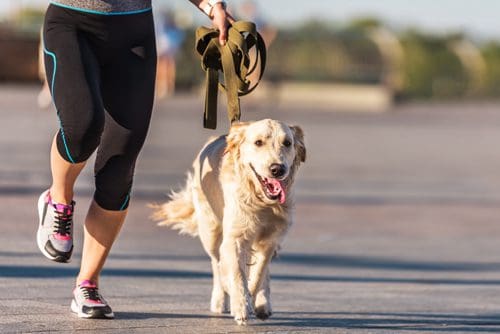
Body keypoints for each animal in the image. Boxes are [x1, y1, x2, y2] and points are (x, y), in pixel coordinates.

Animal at [150, 118, 306, 324]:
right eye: (258, 142)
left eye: (287, 143)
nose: (277, 169)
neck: (261, 201)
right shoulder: (235, 237)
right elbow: (237, 273)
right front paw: (240, 305)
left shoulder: (271, 240)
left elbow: (258, 274)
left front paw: (252, 299)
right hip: (211, 232)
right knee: (216, 264)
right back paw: (220, 298)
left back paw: (263, 303)